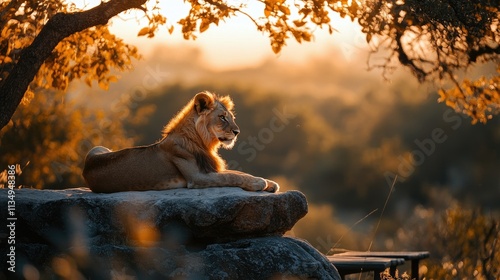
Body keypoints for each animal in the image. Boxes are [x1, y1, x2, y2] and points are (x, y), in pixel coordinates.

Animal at [81, 91, 278, 192]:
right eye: (222, 117)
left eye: (231, 117)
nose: (237, 132)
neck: (203, 143)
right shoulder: (197, 177)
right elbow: (232, 176)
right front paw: (260, 183)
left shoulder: (210, 170)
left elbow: (239, 173)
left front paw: (270, 182)